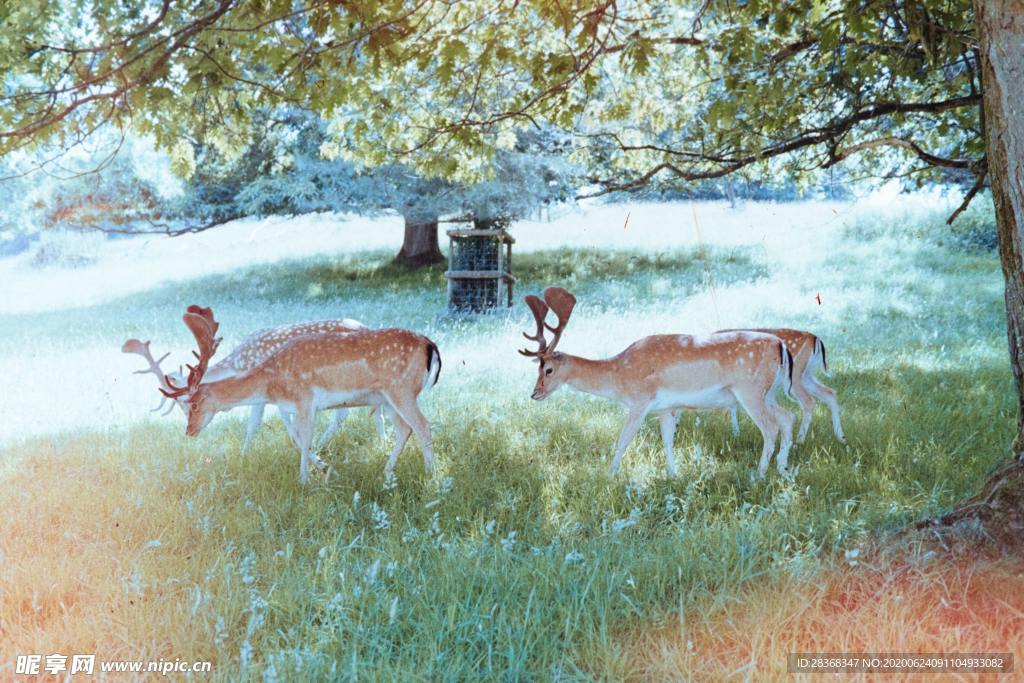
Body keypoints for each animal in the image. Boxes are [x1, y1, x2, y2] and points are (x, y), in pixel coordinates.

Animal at [160, 305, 440, 482]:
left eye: (193, 404)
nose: (189, 431)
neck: (270, 381)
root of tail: (429, 344)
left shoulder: (305, 400)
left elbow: (303, 441)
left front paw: (305, 480)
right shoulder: (291, 406)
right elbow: (296, 439)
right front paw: (321, 472)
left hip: (402, 389)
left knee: (423, 425)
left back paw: (432, 477)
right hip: (387, 397)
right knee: (404, 429)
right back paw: (386, 472)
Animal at [520, 287, 796, 478]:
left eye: (549, 369)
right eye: (537, 367)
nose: (534, 394)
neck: (618, 375)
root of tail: (780, 345)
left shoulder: (640, 401)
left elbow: (623, 439)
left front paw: (608, 477)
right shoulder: (666, 407)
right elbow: (667, 440)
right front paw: (673, 475)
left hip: (750, 390)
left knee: (770, 427)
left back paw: (759, 474)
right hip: (769, 393)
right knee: (787, 417)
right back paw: (783, 469)